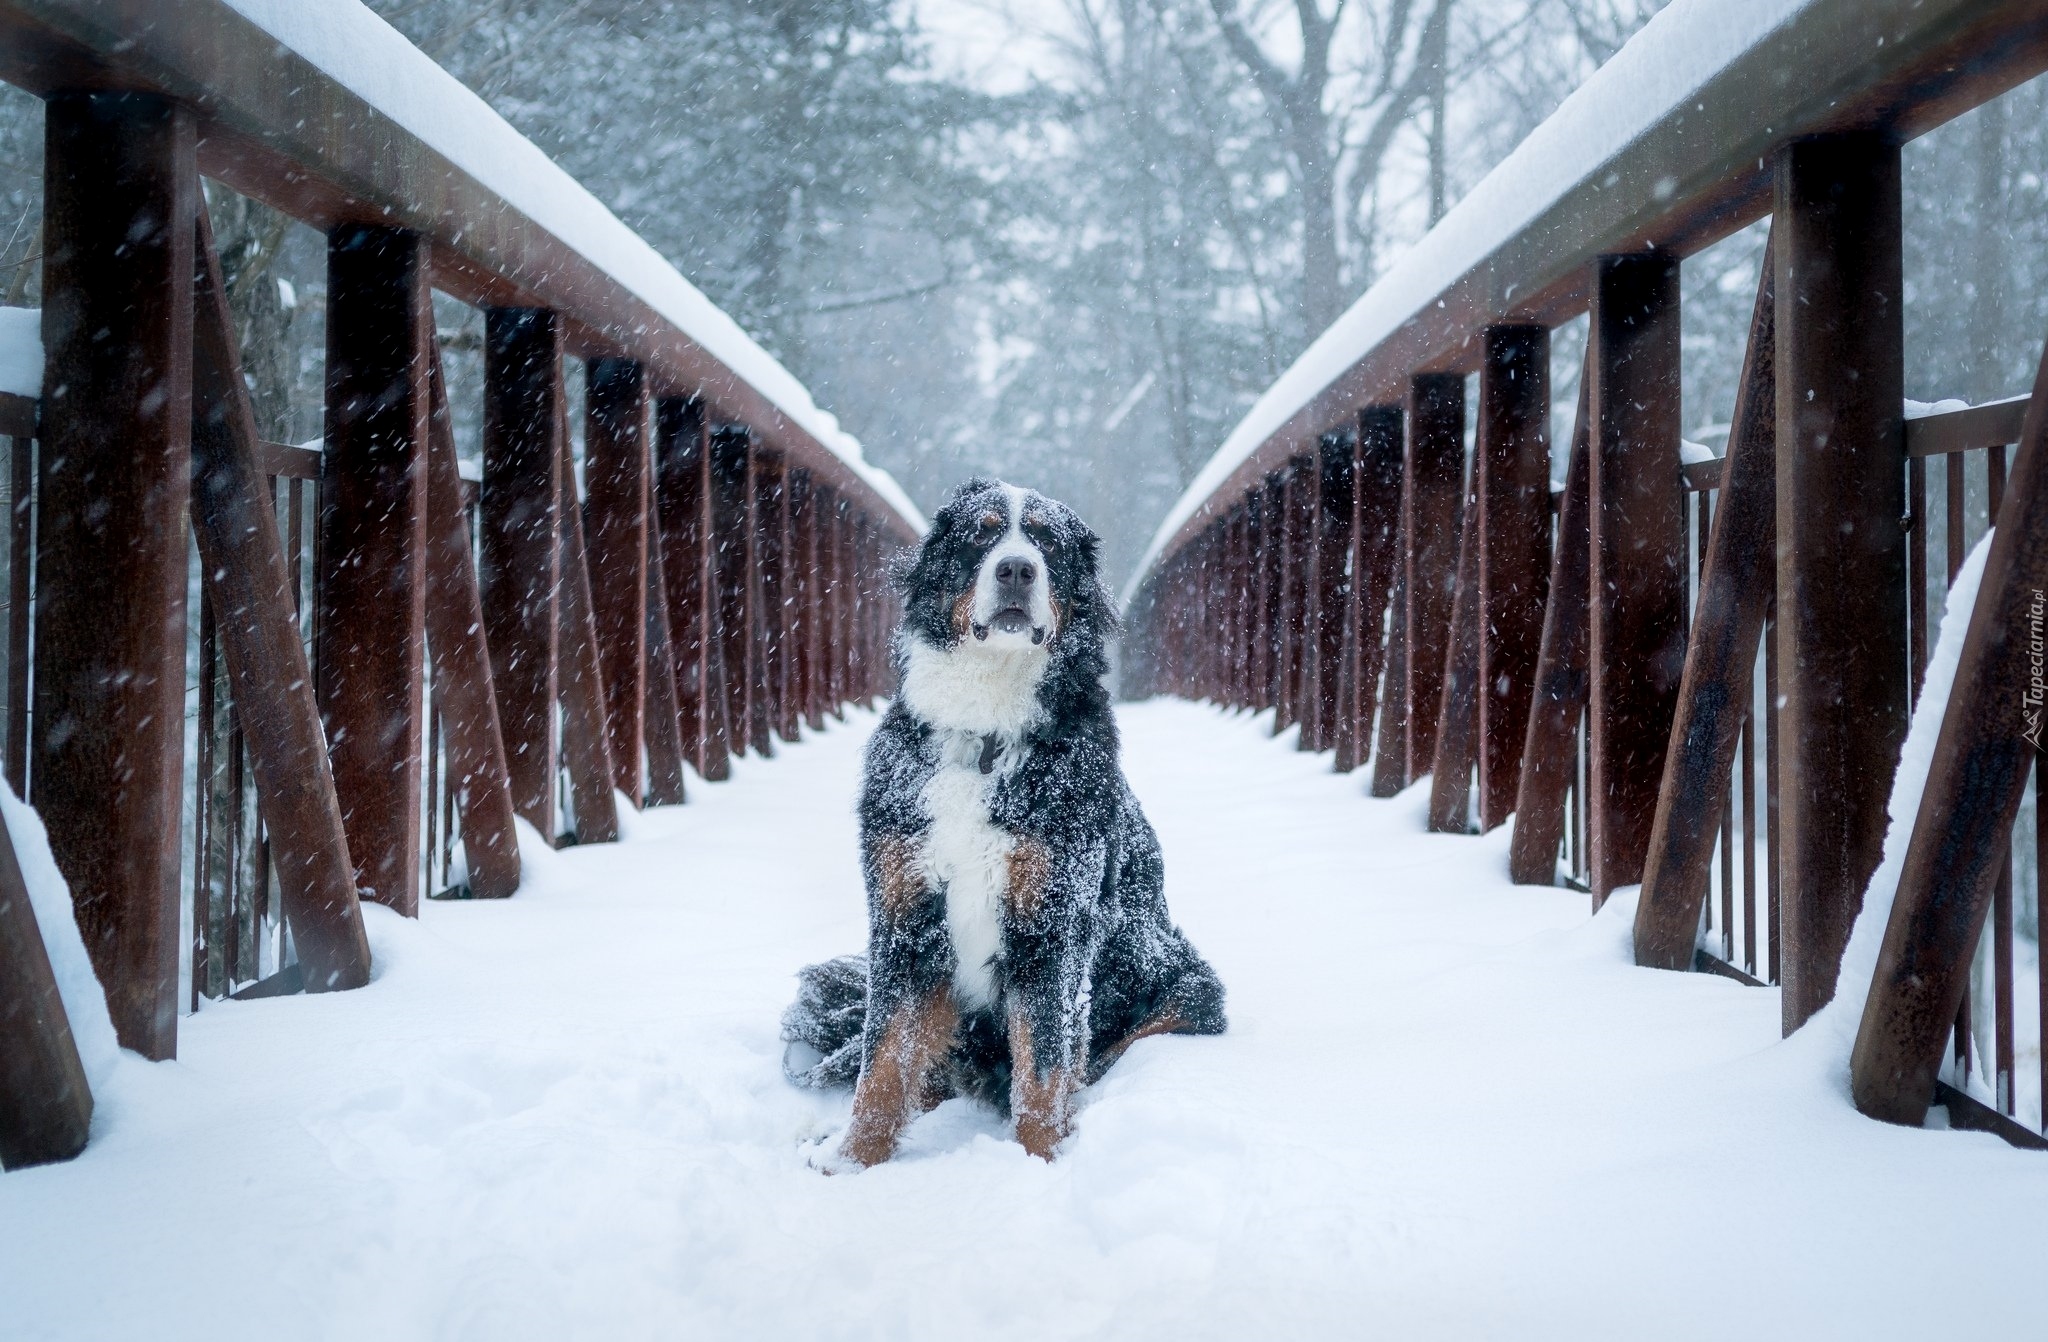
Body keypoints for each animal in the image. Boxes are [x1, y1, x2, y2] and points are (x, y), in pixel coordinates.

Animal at [782, 479, 1220, 1163]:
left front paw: (1037, 1164)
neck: (985, 732)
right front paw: (850, 1163)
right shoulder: (905, 917)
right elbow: (882, 1063)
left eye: (1046, 541)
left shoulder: (1053, 923)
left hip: (1187, 985)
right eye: (983, 535)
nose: (1016, 568)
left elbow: (1043, 1069)